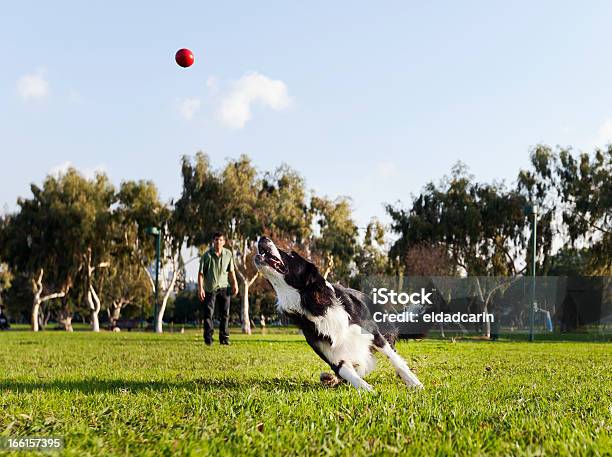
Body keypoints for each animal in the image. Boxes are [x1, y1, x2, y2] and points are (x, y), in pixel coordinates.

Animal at [252, 237, 420, 390]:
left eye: (291, 254)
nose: (262, 237)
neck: (315, 306)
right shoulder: (330, 353)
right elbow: (349, 374)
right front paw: (367, 390)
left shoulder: (373, 333)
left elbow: (394, 359)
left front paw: (414, 383)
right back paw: (331, 378)